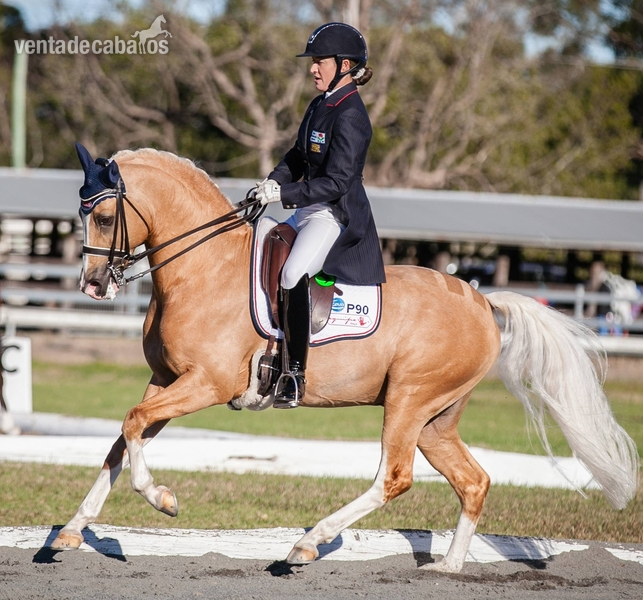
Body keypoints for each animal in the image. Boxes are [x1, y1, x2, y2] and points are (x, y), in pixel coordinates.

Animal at [50, 146, 639, 573]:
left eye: (105, 217)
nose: (93, 285)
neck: (204, 268)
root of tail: (482, 301)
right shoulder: (165, 379)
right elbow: (121, 440)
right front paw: (72, 530)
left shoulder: (205, 384)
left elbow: (131, 425)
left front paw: (162, 499)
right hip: (435, 420)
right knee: (473, 481)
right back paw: (448, 568)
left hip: (408, 400)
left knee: (394, 477)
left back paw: (308, 544)